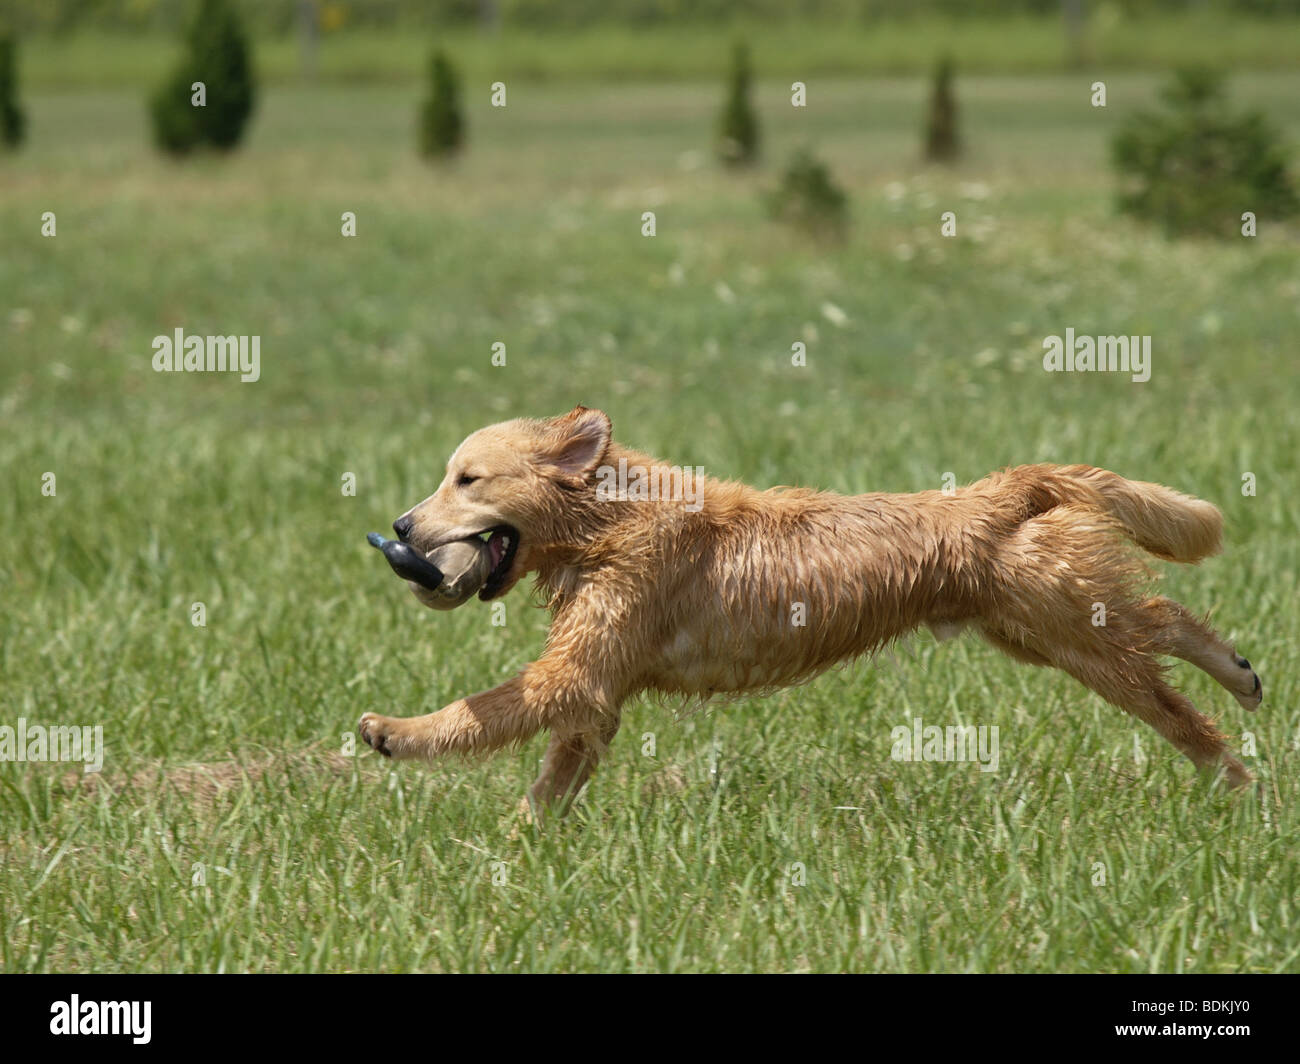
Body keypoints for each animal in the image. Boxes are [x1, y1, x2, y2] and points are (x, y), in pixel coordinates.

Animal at [356, 405, 1258, 811]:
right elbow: (553, 777)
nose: (398, 528)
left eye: (466, 478)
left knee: (1175, 694)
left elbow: (484, 708)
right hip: (1035, 629)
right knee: (1163, 615)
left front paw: (391, 731)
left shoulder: (572, 673)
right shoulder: (597, 693)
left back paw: (1238, 773)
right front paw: (521, 847)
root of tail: (1008, 487)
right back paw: (1243, 676)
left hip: (1068, 629)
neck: (610, 522)